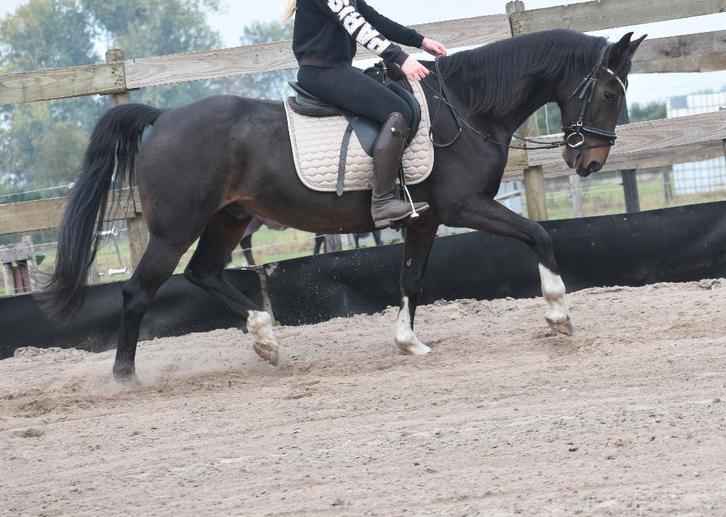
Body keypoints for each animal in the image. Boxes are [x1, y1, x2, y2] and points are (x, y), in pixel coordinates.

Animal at [45, 29, 645, 382]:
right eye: (609, 92)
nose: (591, 160)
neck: (467, 108)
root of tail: (163, 118)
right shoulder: (463, 207)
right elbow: (539, 235)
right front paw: (558, 315)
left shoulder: (425, 221)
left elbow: (411, 280)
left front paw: (408, 342)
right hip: (175, 229)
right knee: (138, 292)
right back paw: (125, 376)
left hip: (229, 219)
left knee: (204, 273)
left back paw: (266, 340)